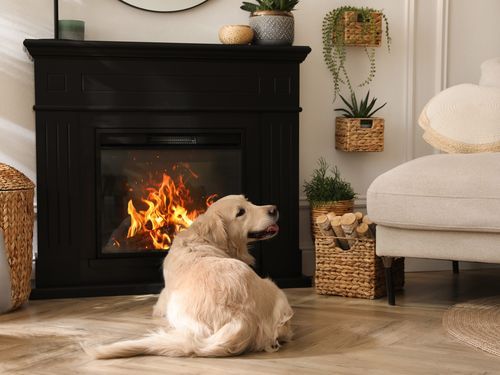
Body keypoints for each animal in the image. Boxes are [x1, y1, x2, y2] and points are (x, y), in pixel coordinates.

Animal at [91, 195, 292, 360]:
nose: (274, 208)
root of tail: (242, 318)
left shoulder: (161, 302)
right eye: (241, 212)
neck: (204, 239)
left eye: (249, 202)